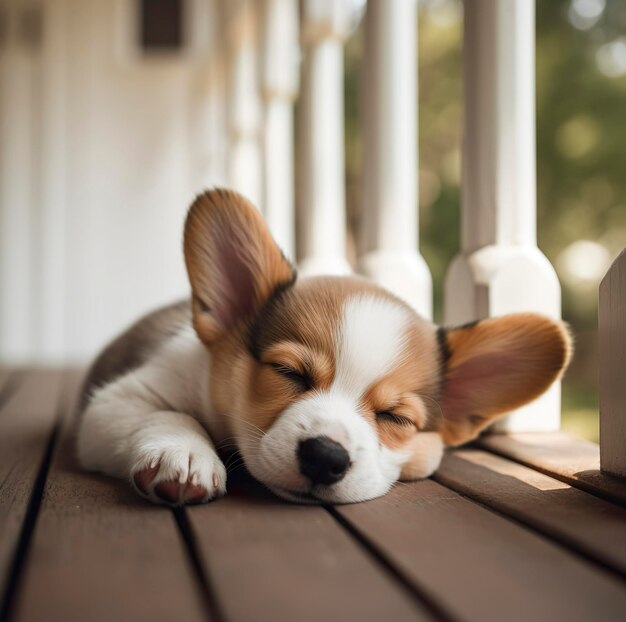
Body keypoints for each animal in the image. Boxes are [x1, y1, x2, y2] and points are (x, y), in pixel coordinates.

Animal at [74, 189, 572, 508]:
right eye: (289, 374)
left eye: (395, 418)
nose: (326, 458)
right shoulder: (117, 401)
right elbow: (167, 415)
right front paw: (185, 455)